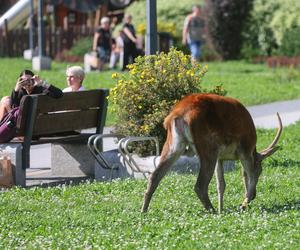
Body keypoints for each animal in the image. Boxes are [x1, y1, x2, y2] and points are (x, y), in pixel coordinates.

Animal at [141, 94, 282, 213]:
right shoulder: (245, 150)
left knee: (155, 175)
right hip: (208, 148)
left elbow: (221, 184)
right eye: (261, 170)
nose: (254, 196)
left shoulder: (220, 158)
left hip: (173, 145)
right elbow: (251, 174)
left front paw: (222, 208)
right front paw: (242, 205)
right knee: (200, 185)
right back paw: (212, 210)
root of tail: (177, 115)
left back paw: (143, 210)